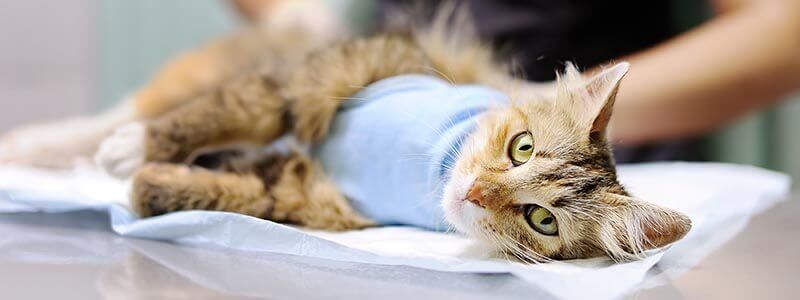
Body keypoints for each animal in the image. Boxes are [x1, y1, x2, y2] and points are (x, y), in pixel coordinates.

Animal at [0, 5, 692, 262]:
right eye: (521, 147)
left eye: (542, 220)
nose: (473, 193)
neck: (431, 163)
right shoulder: (317, 83)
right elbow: (223, 114)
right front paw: (137, 151)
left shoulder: (305, 196)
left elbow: (224, 193)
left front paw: (150, 182)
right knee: (118, 113)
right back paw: (45, 147)